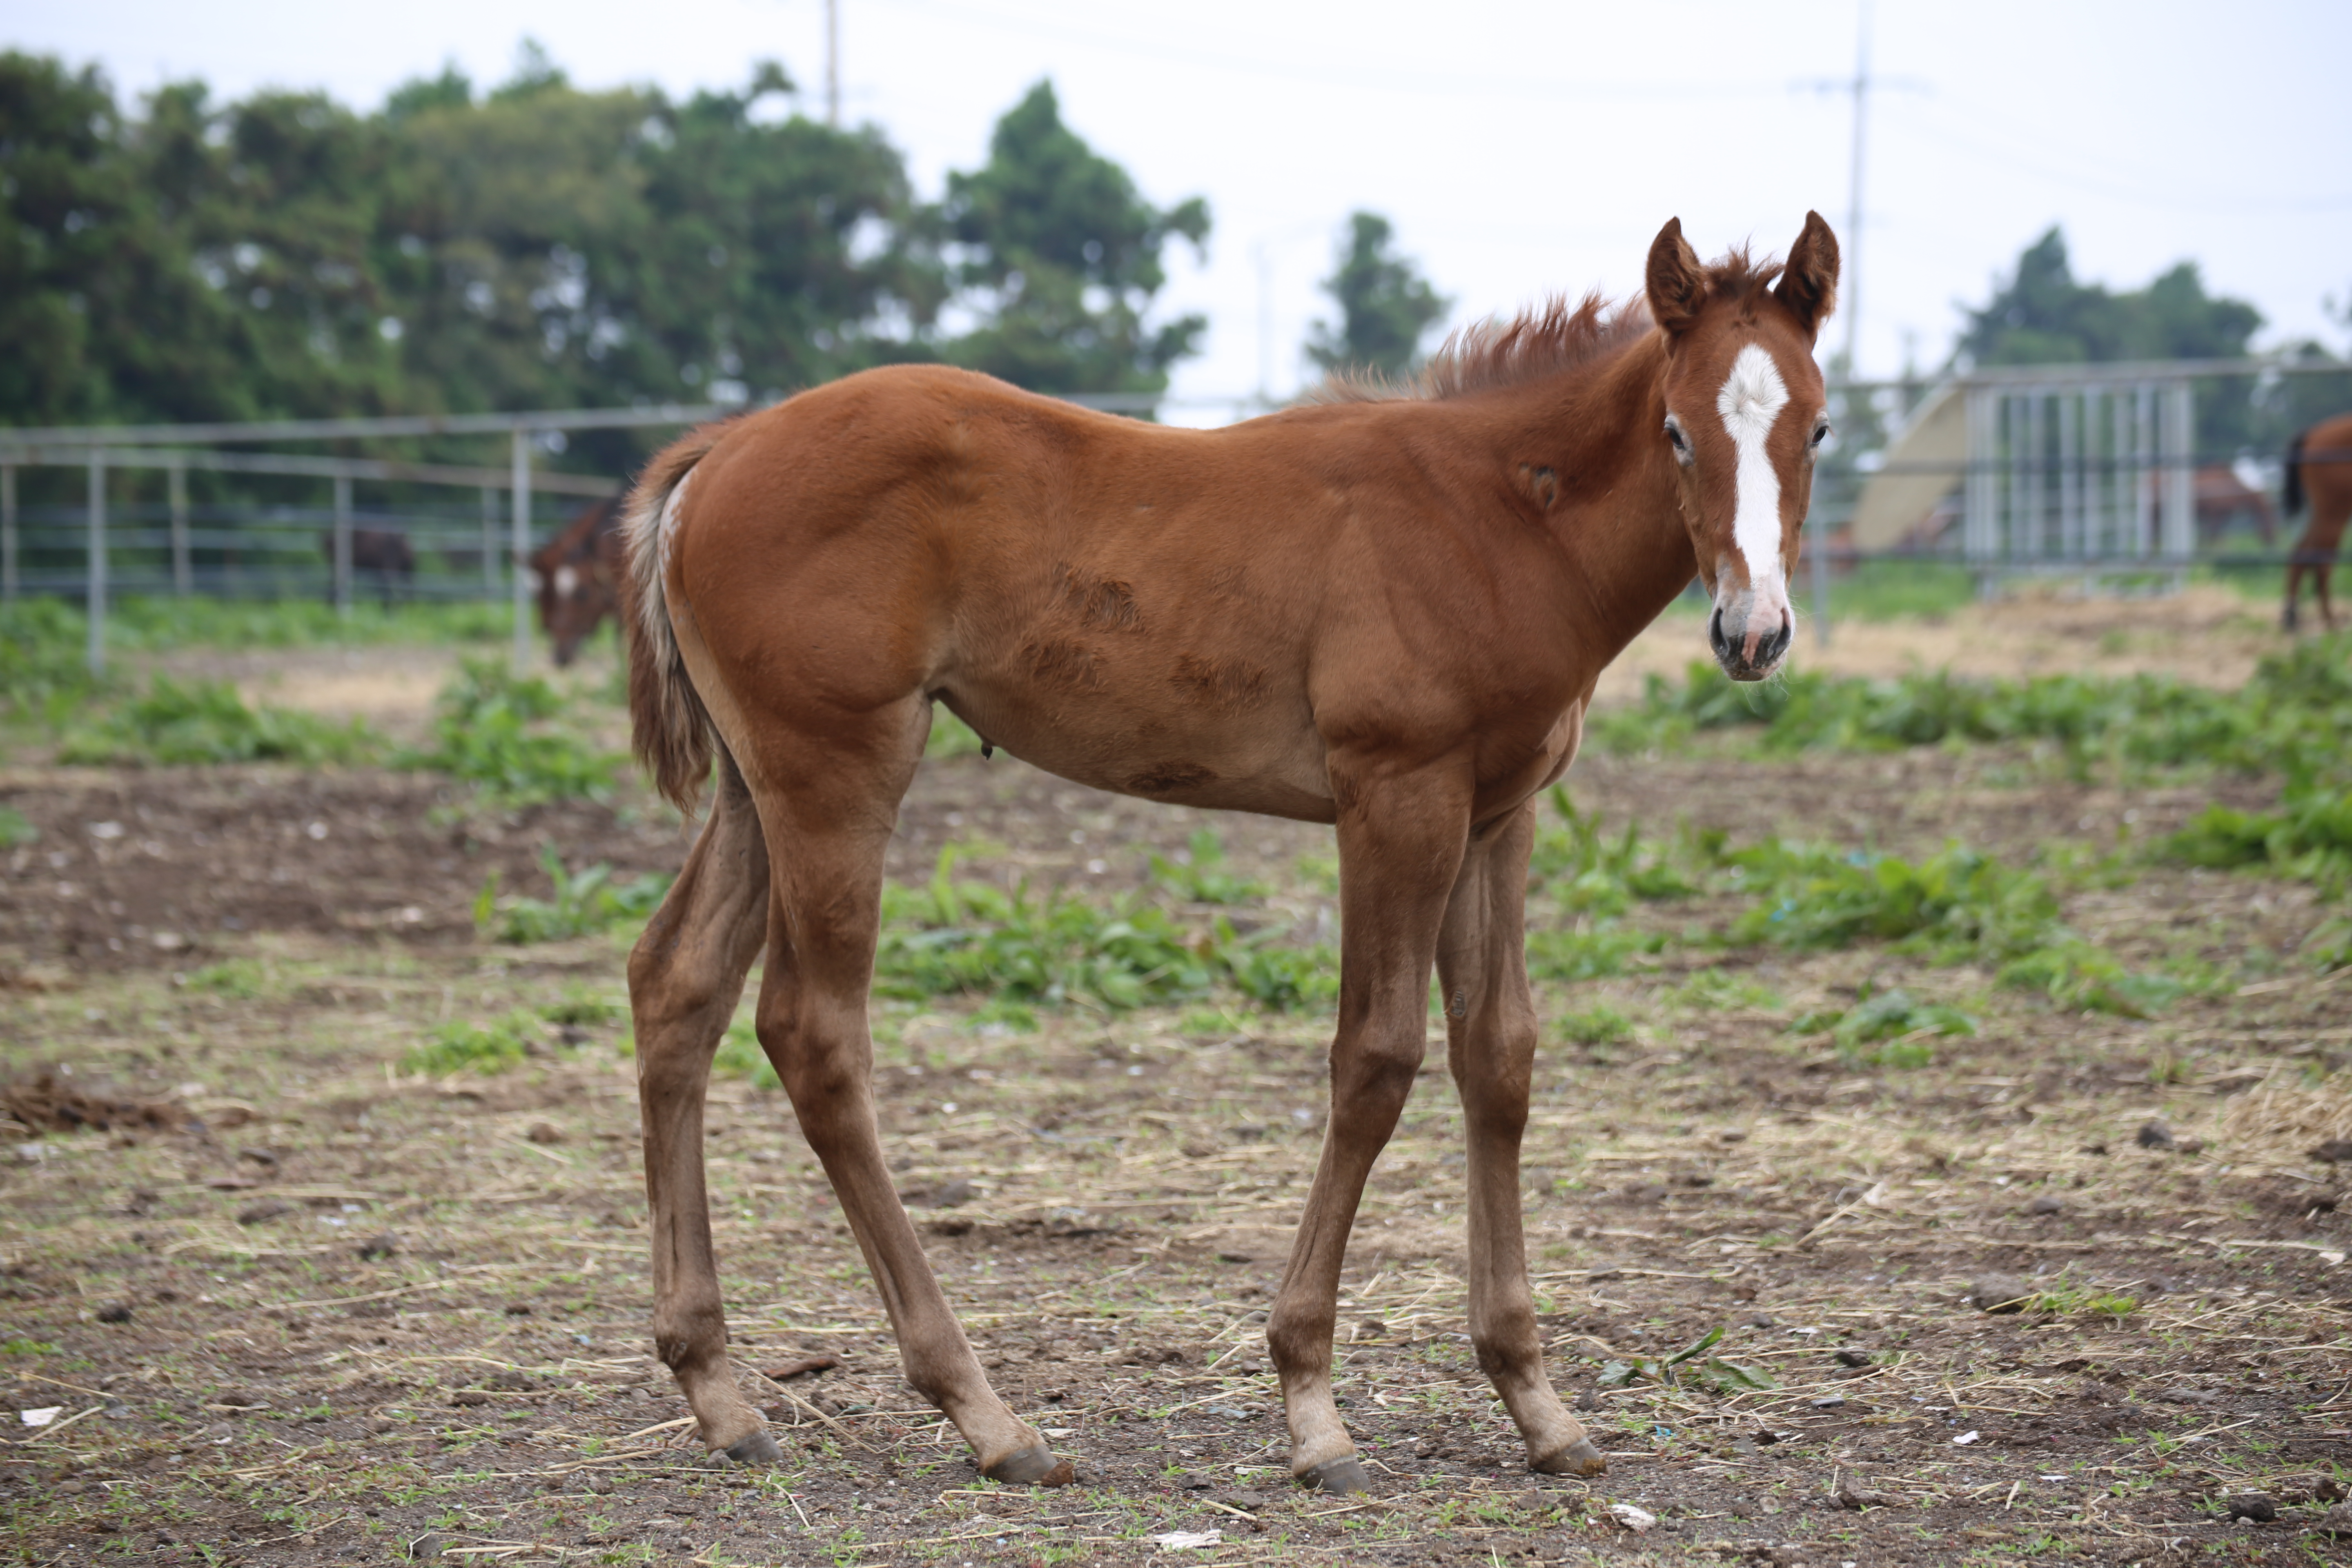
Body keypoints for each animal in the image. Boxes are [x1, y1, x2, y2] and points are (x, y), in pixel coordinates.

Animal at [616, 212, 1844, 1495]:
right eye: (1676, 429)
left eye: (1815, 426)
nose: (1753, 633)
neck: (1496, 519)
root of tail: (717, 451)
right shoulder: (1396, 797)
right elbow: (1376, 1060)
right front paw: (1312, 1407)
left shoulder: (1497, 815)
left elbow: (1498, 1060)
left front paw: (1537, 1404)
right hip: (839, 773)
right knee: (813, 1034)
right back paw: (984, 1412)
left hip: (758, 787)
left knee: (675, 984)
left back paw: (719, 1391)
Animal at [2276, 416, 2352, 639]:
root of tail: (2312, 435)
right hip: (2335, 511)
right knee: (2322, 565)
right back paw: (2331, 624)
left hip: (2325, 513)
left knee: (2302, 554)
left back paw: (2292, 619)